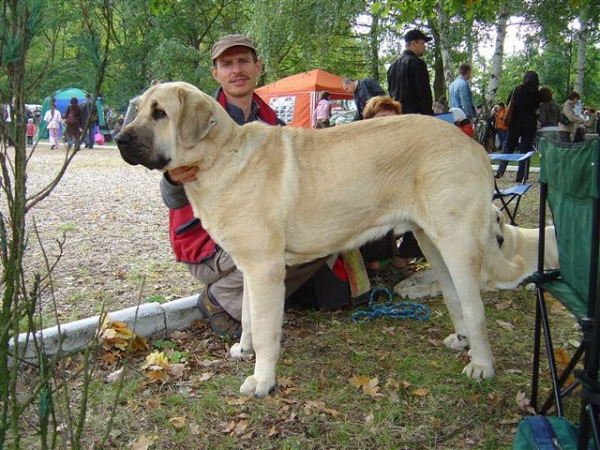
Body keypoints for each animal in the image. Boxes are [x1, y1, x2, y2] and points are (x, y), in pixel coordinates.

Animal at [115, 81, 524, 398]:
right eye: (137, 109)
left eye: (160, 113)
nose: (118, 138)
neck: (219, 156)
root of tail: (475, 146)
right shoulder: (250, 267)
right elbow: (247, 316)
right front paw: (244, 349)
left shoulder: (265, 269)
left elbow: (265, 330)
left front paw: (262, 381)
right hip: (431, 242)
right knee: (454, 296)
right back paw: (462, 341)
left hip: (457, 242)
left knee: (475, 305)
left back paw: (482, 365)